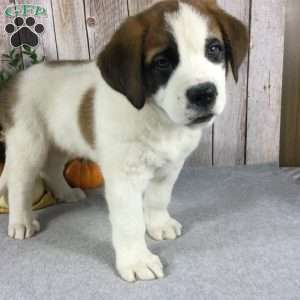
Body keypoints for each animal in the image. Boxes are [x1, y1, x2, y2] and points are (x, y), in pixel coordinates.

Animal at [0, 0, 248, 282]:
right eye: (162, 62)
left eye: (214, 49)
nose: (203, 93)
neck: (158, 117)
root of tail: (15, 81)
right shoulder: (124, 180)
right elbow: (130, 223)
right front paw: (137, 260)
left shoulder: (170, 169)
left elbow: (158, 199)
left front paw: (159, 224)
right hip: (28, 144)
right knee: (20, 185)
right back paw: (21, 222)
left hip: (61, 139)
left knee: (51, 168)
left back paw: (66, 192)